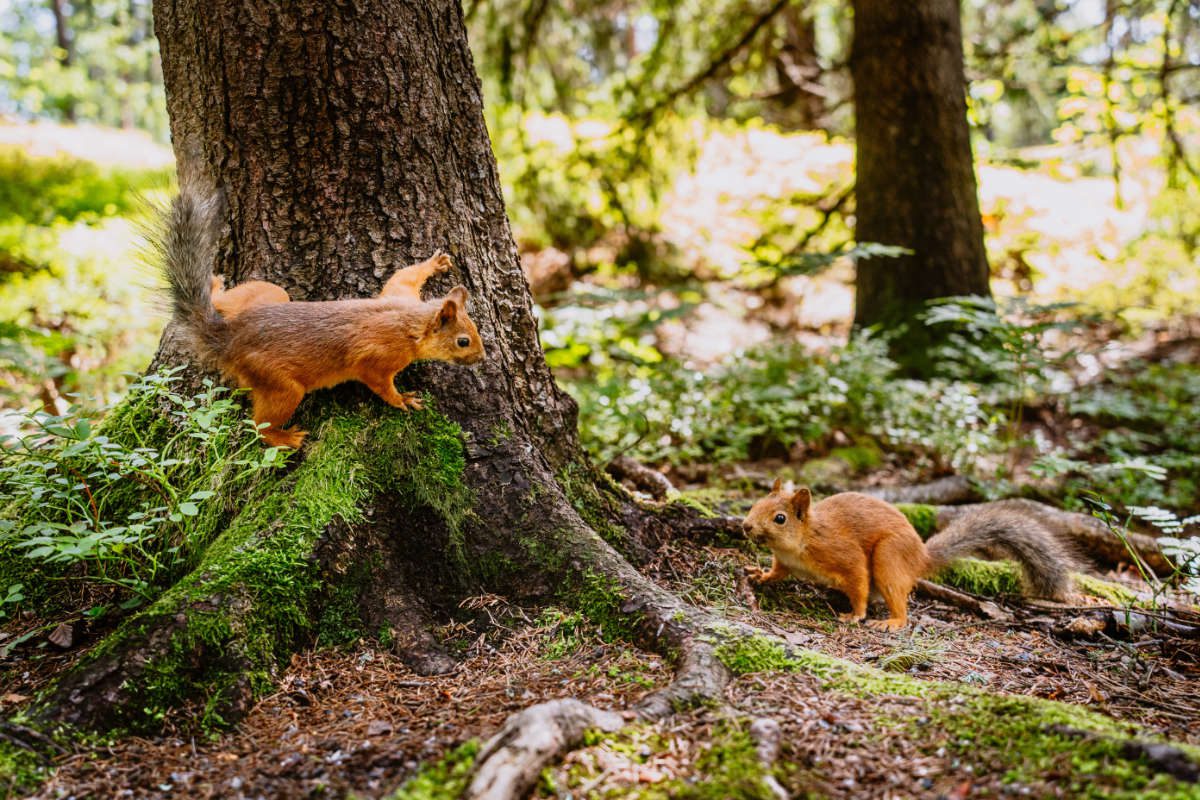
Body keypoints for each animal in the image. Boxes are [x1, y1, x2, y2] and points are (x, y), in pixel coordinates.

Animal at [206, 250, 453, 319]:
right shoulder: (400, 294)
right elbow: (403, 275)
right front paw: (436, 263)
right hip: (269, 293)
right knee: (219, 300)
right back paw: (214, 281)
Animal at [744, 482, 1075, 633]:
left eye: (780, 518)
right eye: (755, 503)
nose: (746, 526)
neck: (801, 542)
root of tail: (920, 556)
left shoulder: (843, 555)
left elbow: (859, 581)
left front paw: (856, 615)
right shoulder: (785, 561)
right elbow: (776, 573)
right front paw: (759, 575)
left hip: (888, 558)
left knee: (899, 604)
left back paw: (890, 622)